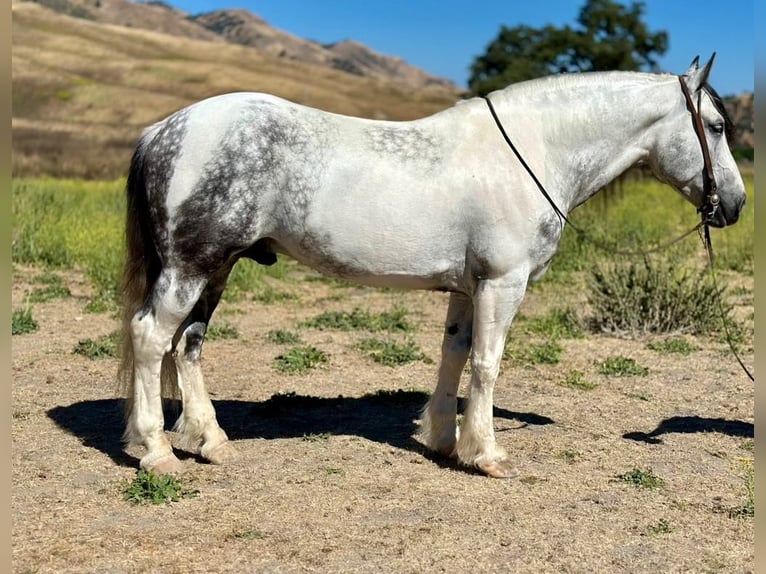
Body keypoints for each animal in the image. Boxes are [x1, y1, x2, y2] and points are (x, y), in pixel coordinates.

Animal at [118, 56, 744, 482]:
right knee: (151, 337)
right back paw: (157, 452)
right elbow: (487, 364)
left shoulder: (468, 288)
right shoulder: (502, 284)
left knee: (188, 346)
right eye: (715, 126)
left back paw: (211, 441)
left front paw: (443, 439)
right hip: (190, 267)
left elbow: (454, 354)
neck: (532, 152)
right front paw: (486, 453)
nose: (734, 205)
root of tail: (162, 131)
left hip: (216, 269)